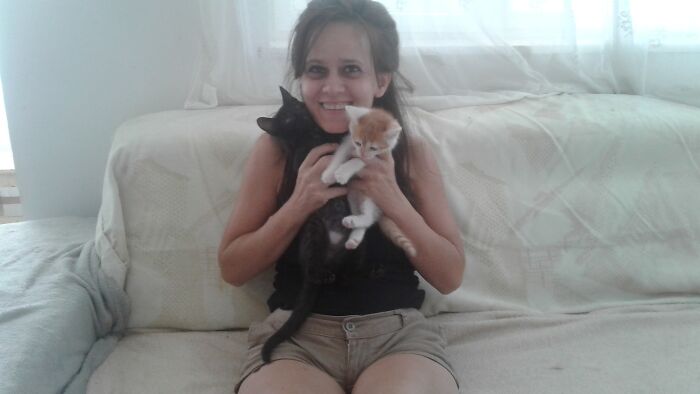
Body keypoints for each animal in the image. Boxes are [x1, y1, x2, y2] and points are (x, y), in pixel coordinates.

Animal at [258, 86, 366, 364]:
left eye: (296, 104)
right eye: (287, 117)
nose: (300, 110)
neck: (311, 133)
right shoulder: (306, 162)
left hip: (355, 249)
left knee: (344, 272)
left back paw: (346, 275)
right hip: (313, 234)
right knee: (313, 271)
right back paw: (321, 274)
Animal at [322, 106, 416, 258]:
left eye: (373, 148)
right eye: (358, 143)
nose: (362, 153)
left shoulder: (377, 158)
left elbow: (359, 161)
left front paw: (343, 172)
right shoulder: (348, 143)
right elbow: (340, 155)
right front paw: (329, 174)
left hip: (372, 198)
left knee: (369, 218)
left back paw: (353, 221)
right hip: (353, 196)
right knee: (363, 220)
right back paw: (353, 237)